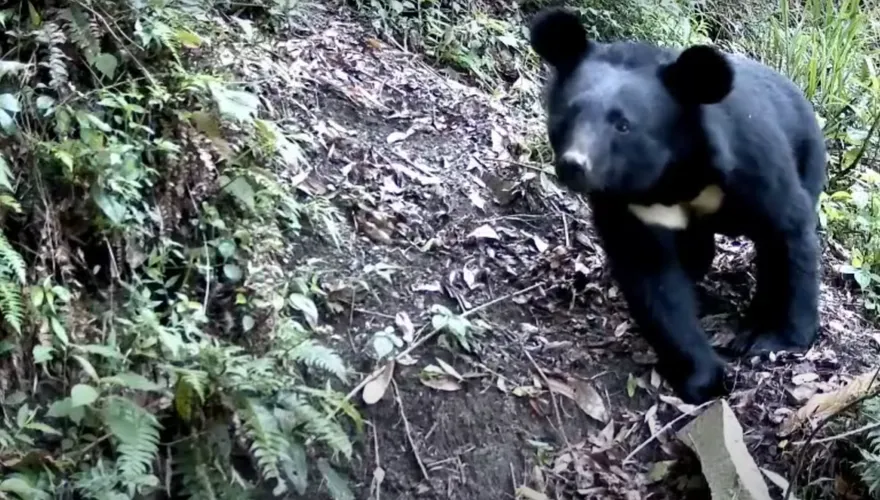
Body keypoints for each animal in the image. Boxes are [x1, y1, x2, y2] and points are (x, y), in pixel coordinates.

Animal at [528, 7, 827, 404]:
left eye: (623, 125)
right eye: (569, 114)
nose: (574, 165)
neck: (674, 174)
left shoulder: (752, 162)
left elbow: (788, 228)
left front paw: (778, 338)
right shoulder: (627, 202)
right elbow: (653, 277)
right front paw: (703, 378)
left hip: (807, 156)